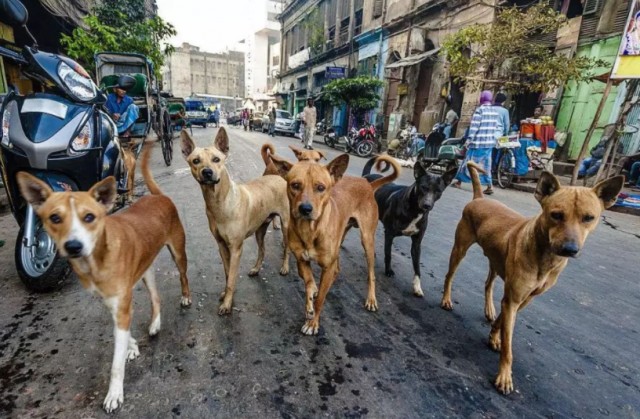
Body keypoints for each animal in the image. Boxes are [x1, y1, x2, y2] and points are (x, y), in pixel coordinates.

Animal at [16, 141, 191, 414]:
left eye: (89, 217)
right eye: (55, 218)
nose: (73, 246)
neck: (96, 260)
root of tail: (157, 196)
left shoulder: (121, 306)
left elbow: (116, 363)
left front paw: (114, 393)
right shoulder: (112, 304)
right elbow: (123, 334)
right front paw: (131, 346)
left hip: (178, 252)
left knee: (183, 275)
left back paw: (185, 297)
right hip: (146, 270)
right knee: (155, 298)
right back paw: (154, 324)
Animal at [180, 128, 290, 316]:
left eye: (216, 159)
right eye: (196, 161)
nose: (207, 172)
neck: (220, 202)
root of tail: (277, 177)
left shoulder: (236, 248)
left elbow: (231, 278)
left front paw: (227, 304)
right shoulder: (222, 246)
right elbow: (226, 273)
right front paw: (226, 295)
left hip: (286, 225)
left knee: (287, 247)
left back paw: (285, 267)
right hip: (260, 230)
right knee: (262, 250)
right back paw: (256, 269)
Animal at [270, 153, 400, 336]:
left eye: (320, 187)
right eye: (295, 185)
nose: (305, 209)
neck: (310, 230)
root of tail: (367, 184)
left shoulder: (327, 265)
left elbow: (320, 299)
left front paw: (313, 323)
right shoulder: (302, 260)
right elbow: (308, 281)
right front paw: (310, 300)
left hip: (367, 240)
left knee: (371, 274)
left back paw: (371, 299)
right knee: (336, 269)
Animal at [362, 158, 458, 298]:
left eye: (438, 191)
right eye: (423, 187)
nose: (427, 205)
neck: (415, 210)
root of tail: (367, 176)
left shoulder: (417, 243)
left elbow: (417, 266)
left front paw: (417, 287)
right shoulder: (389, 234)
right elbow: (388, 254)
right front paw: (388, 271)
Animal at [440, 161, 620, 398]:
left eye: (589, 217)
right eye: (556, 215)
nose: (570, 249)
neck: (545, 256)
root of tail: (479, 198)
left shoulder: (525, 299)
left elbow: (503, 321)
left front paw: (494, 336)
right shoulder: (513, 299)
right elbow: (509, 346)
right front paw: (504, 376)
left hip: (496, 259)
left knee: (488, 283)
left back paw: (489, 309)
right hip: (460, 248)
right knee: (449, 275)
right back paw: (446, 299)